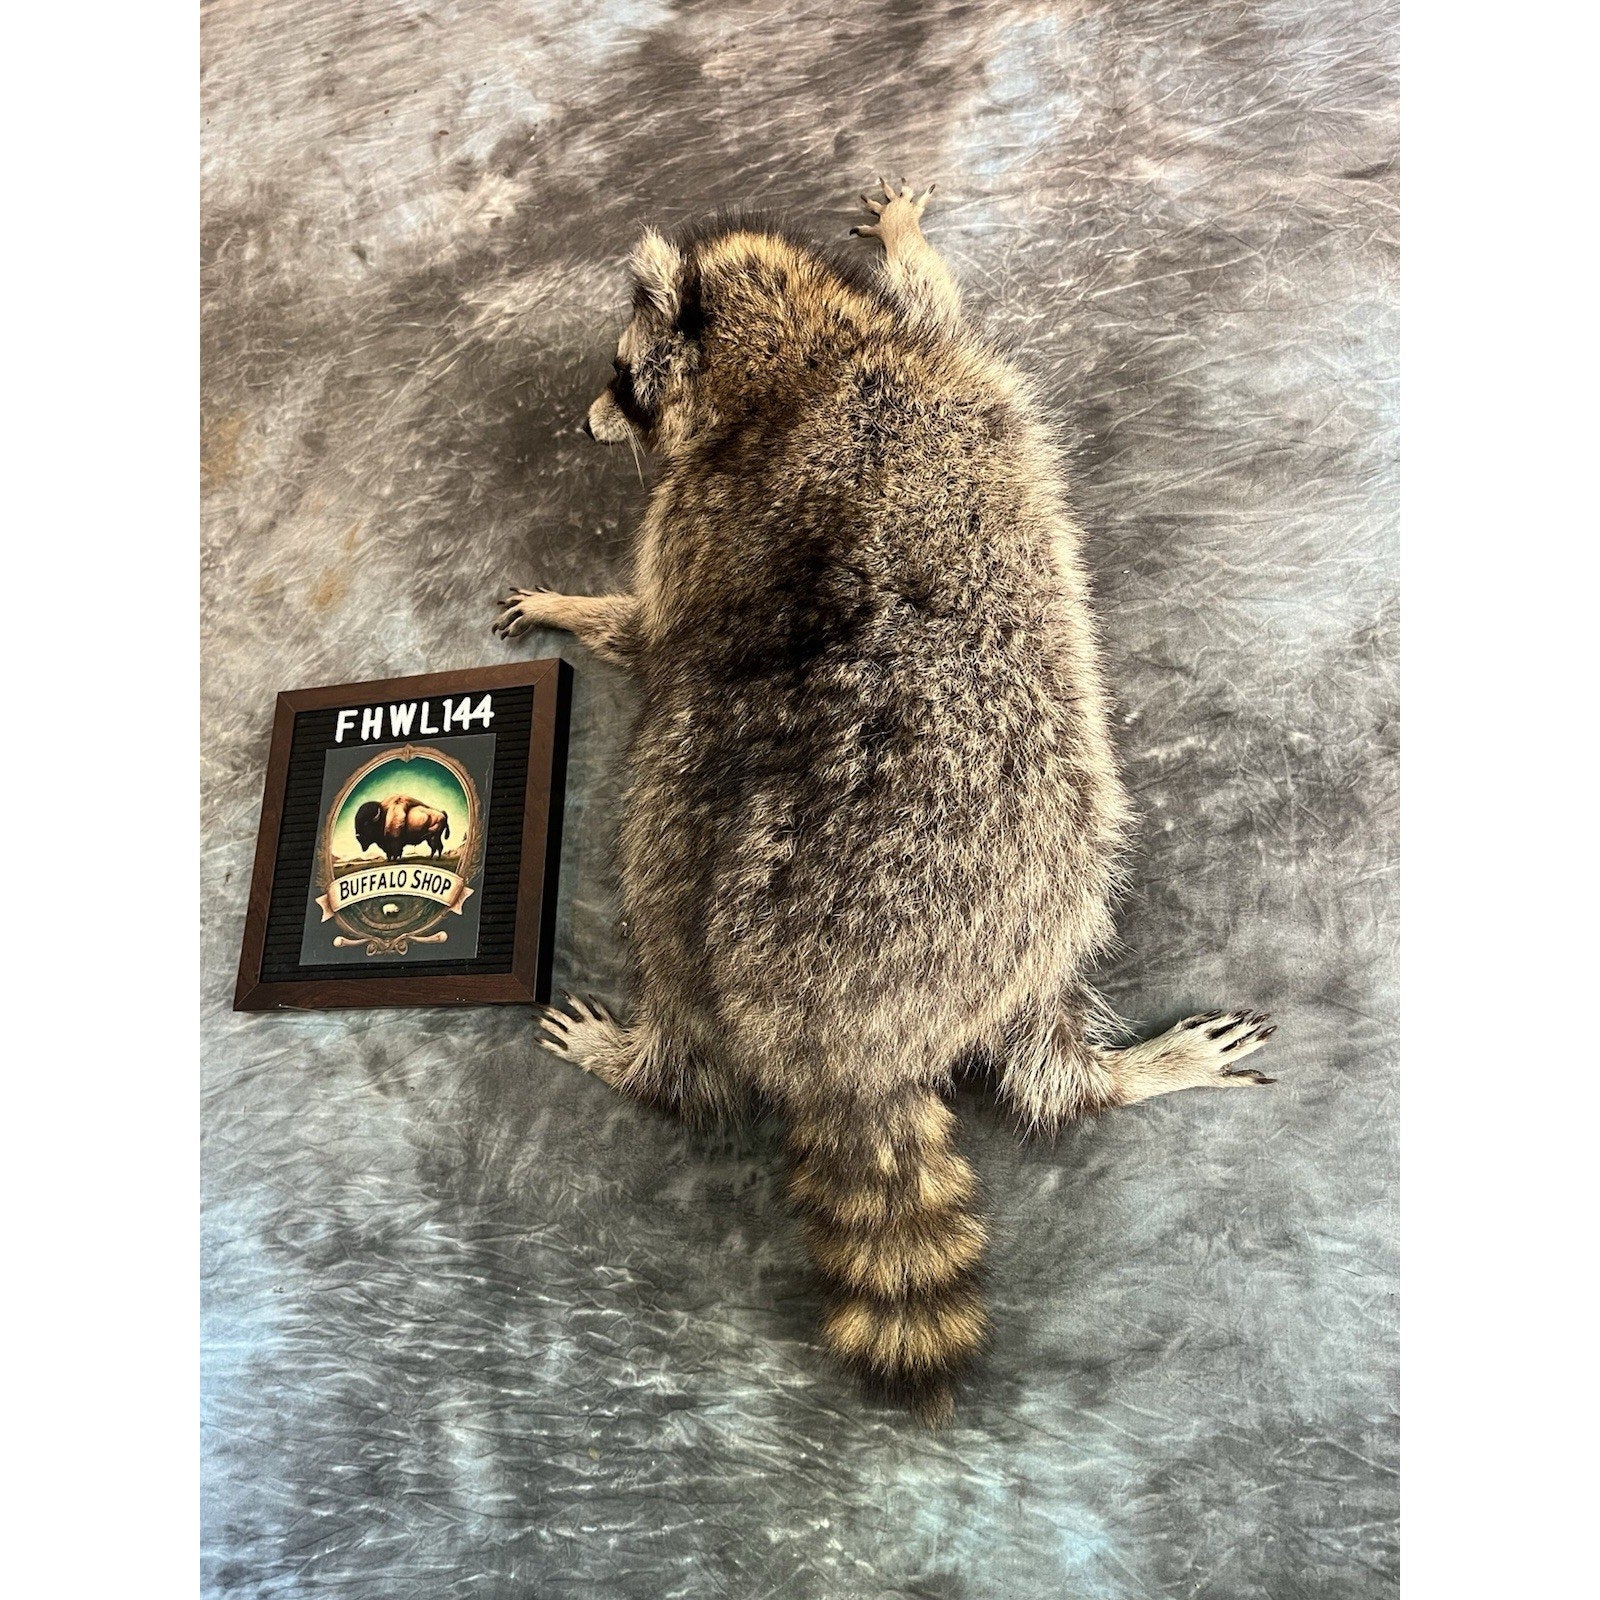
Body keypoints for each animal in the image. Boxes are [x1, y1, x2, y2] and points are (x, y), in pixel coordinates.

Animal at [494, 180, 1277, 1423]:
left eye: (618, 376)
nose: (583, 424)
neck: (796, 361)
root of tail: (839, 1044)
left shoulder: (796, 429)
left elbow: (657, 631)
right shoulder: (805, 426)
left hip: (777, 877)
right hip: (1013, 891)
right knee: (1042, 1011)